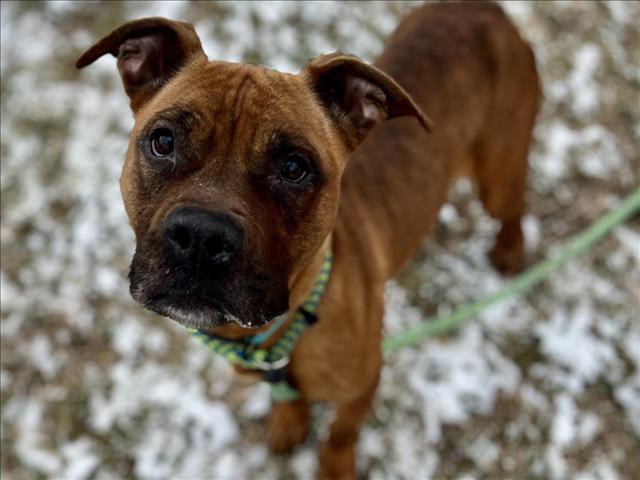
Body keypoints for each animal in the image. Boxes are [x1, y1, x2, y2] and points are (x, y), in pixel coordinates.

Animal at [76, 1, 540, 478]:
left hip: (498, 174)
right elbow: (290, 400)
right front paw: (288, 422)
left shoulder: (363, 386)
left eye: (294, 167)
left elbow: (340, 434)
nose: (202, 236)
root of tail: (481, 8)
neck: (274, 334)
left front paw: (333, 467)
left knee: (514, 206)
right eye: (163, 142)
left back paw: (509, 249)